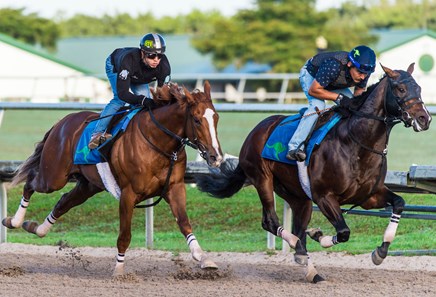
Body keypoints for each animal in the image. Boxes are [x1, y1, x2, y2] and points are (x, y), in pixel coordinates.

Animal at [5, 81, 225, 276]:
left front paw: (204, 258)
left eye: (216, 118)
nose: (216, 157)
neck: (157, 142)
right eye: (196, 119)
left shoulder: (175, 187)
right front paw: (119, 270)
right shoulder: (128, 194)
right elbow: (124, 236)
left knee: (63, 201)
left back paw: (38, 229)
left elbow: (184, 222)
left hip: (88, 185)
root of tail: (62, 122)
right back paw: (14, 221)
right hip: (53, 177)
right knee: (31, 182)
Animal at [197, 63, 432, 280]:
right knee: (271, 222)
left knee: (297, 228)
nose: (424, 118)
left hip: (298, 196)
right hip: (262, 179)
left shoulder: (368, 196)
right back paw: (301, 250)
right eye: (400, 88)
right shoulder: (324, 196)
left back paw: (310, 267)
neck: (357, 144)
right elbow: (344, 232)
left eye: (419, 88)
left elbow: (399, 203)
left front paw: (380, 252)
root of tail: (255, 131)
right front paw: (320, 235)